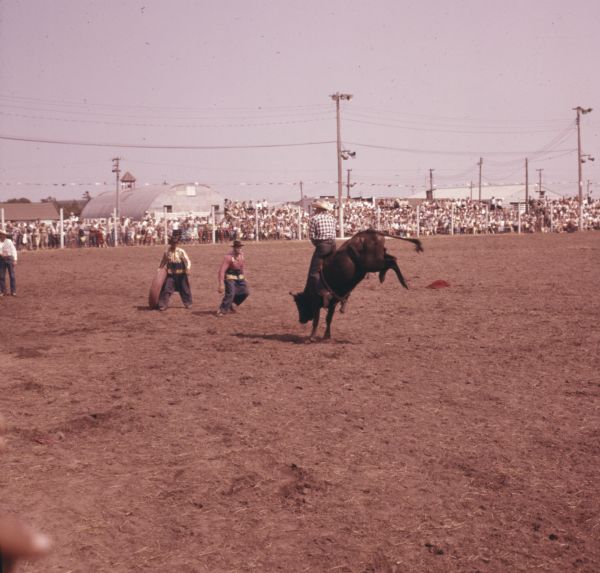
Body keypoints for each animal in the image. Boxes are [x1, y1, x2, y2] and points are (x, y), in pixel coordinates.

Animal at [290, 230, 422, 342]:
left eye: (299, 304)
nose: (301, 320)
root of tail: (372, 231)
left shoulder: (316, 303)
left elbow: (316, 320)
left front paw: (312, 337)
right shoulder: (332, 302)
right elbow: (329, 318)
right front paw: (327, 335)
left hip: (373, 263)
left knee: (392, 261)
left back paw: (401, 281)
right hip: (379, 258)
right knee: (392, 259)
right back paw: (387, 277)